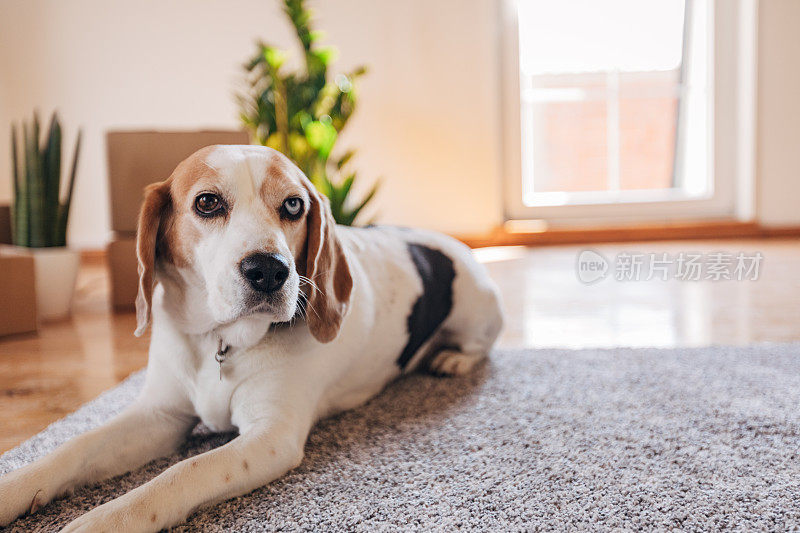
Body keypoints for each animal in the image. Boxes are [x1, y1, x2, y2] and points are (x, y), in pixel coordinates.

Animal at [0, 143, 500, 528]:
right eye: (207, 203)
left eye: (294, 205)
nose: (270, 271)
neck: (218, 343)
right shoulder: (159, 415)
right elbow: (74, 448)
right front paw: (14, 488)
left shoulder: (270, 436)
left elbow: (180, 473)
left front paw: (104, 520)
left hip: (479, 310)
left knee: (481, 345)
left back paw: (450, 358)